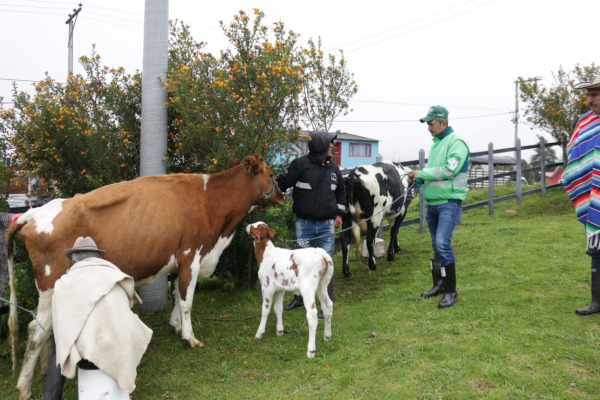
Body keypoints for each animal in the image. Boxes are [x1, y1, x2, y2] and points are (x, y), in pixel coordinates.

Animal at [6, 153, 284, 400]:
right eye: (271, 174)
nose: (283, 197)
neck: (212, 201)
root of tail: (32, 213)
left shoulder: (178, 262)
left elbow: (176, 295)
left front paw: (176, 327)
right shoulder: (191, 257)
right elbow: (187, 301)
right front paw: (190, 338)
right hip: (51, 283)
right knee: (36, 332)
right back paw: (24, 388)